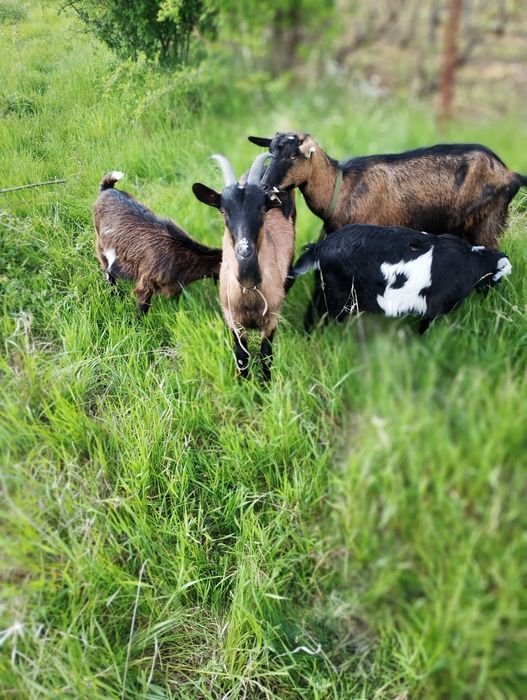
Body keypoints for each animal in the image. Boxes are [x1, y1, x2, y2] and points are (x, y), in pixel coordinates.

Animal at [93, 171, 222, 314]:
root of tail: (106, 189)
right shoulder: (146, 282)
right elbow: (143, 307)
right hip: (101, 247)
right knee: (108, 271)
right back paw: (114, 293)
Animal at [192, 153, 296, 381]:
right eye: (223, 211)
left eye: (262, 209)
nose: (244, 250)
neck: (249, 287)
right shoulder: (232, 318)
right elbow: (241, 355)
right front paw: (244, 383)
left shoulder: (272, 317)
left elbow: (266, 354)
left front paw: (265, 385)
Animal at [249, 132, 527, 247]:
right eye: (270, 152)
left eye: (293, 155)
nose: (264, 186)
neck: (341, 190)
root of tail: (510, 174)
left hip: (487, 224)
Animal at [292, 224, 512, 333]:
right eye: (498, 278)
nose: (494, 292)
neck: (470, 261)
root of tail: (321, 247)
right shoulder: (434, 304)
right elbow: (425, 326)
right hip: (338, 294)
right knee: (317, 314)